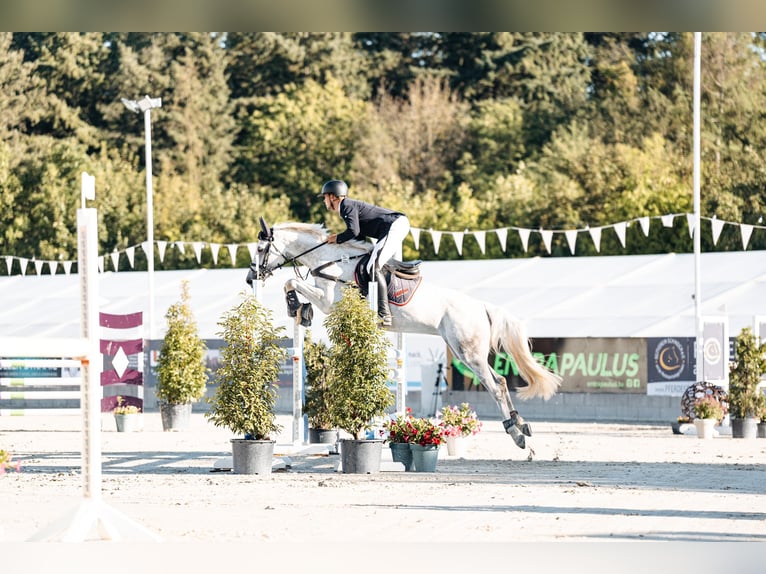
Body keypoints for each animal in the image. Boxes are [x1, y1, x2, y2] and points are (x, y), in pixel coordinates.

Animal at [249, 220, 560, 450]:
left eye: (262, 248)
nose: (251, 277)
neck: (331, 260)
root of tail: (481, 306)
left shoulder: (329, 301)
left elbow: (291, 282)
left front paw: (296, 306)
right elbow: (293, 284)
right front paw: (300, 309)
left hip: (468, 353)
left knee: (495, 386)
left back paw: (516, 435)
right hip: (465, 353)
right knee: (502, 382)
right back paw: (522, 426)